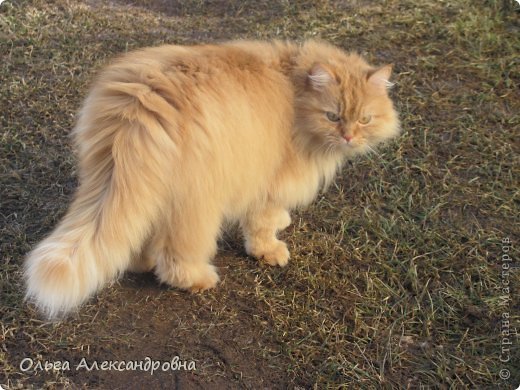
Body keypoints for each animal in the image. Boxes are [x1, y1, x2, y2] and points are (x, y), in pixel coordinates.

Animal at [24, 40, 400, 320]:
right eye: (333, 116)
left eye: (365, 119)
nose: (350, 137)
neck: (294, 83)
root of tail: (140, 105)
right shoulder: (270, 182)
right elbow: (261, 224)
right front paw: (268, 250)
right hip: (198, 201)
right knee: (175, 256)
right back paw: (197, 279)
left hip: (135, 186)